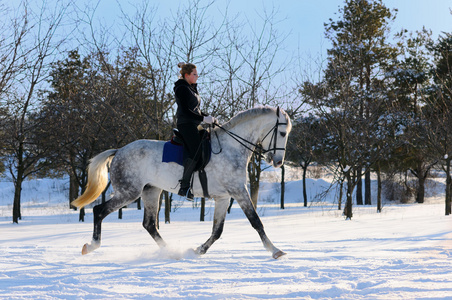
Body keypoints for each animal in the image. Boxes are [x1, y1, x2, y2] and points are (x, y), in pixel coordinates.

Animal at [71, 106, 294, 258]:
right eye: (282, 133)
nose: (277, 162)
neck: (232, 147)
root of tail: (119, 151)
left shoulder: (223, 197)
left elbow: (217, 230)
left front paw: (198, 250)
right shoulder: (239, 191)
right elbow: (256, 221)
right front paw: (275, 250)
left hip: (151, 191)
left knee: (149, 224)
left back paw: (170, 251)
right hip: (129, 193)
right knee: (99, 211)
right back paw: (90, 246)